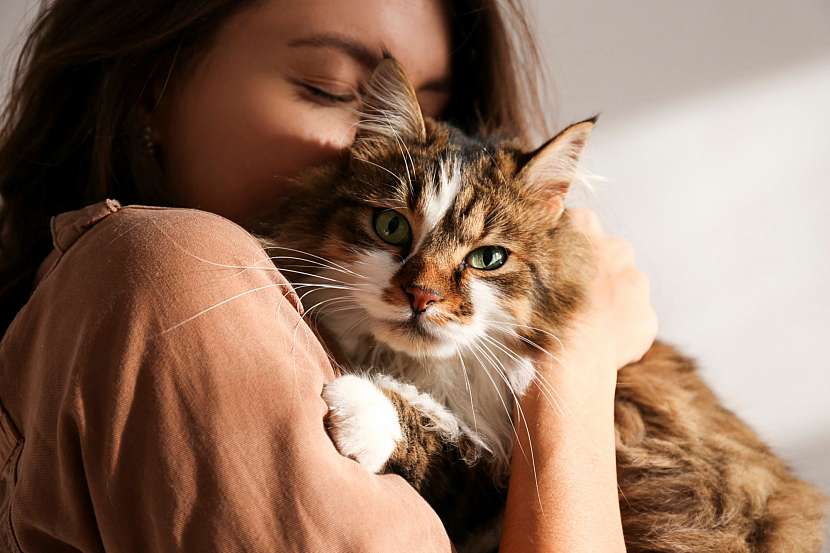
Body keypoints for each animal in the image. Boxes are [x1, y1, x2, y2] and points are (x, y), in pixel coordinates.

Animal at [256, 58, 828, 548]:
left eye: (488, 258)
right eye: (391, 227)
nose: (421, 295)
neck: (428, 371)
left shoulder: (498, 474)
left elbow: (446, 442)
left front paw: (362, 408)